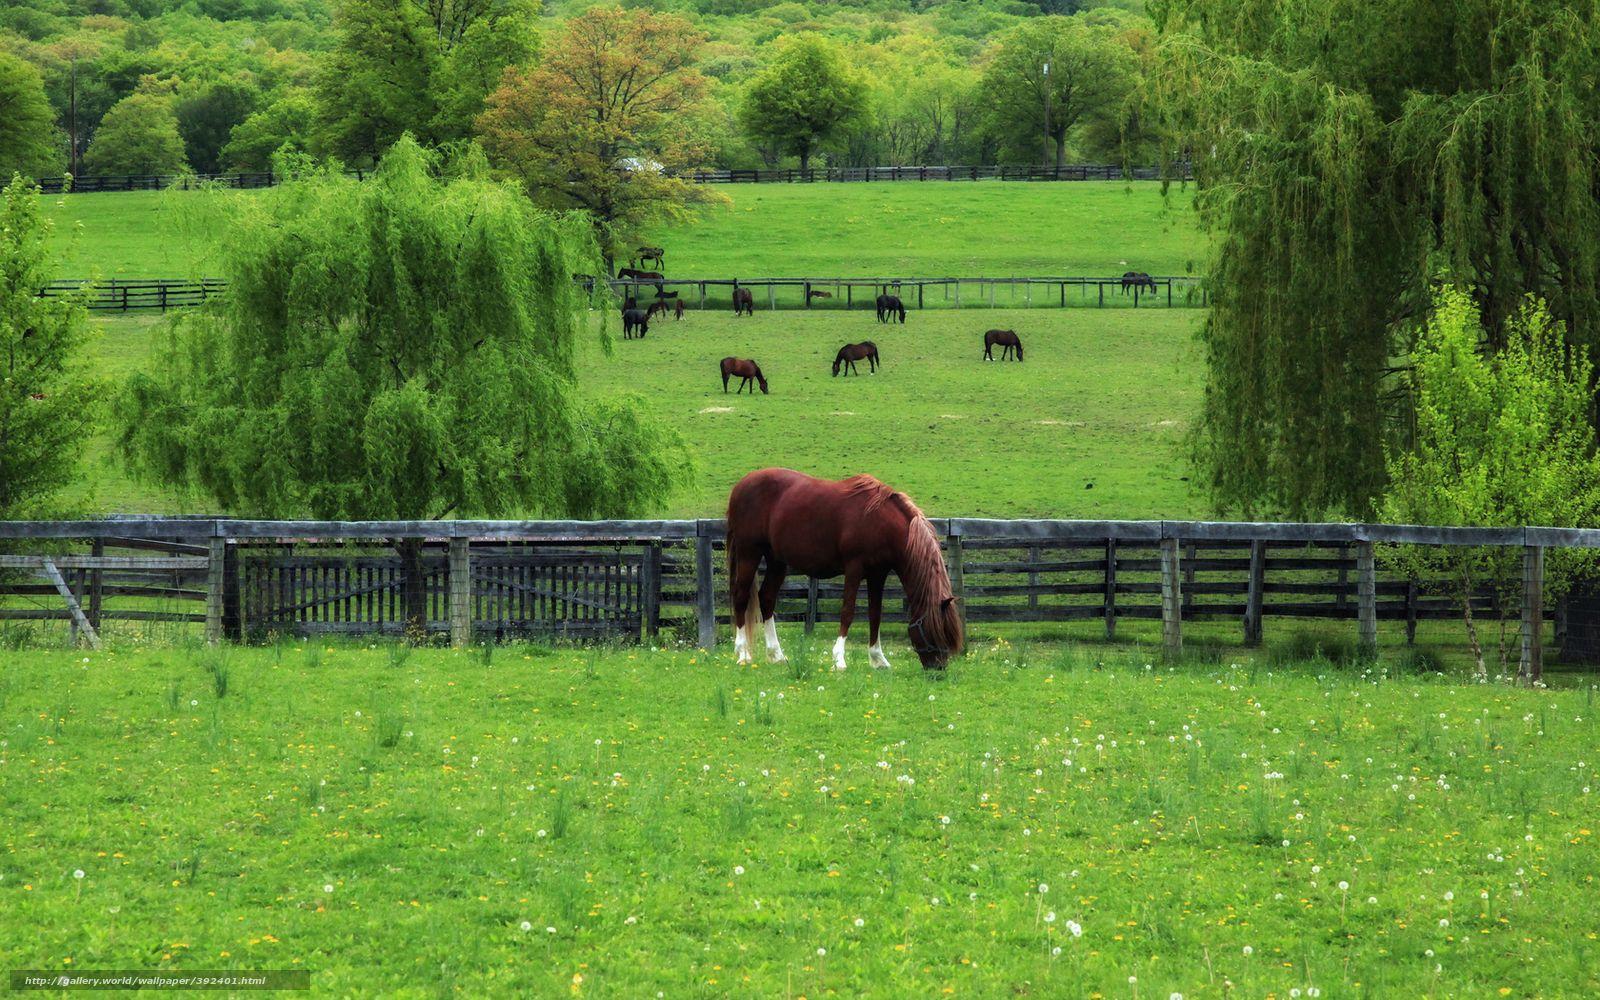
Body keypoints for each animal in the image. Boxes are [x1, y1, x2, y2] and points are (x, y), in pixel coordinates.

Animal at [725, 468, 964, 671]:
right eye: (937, 631)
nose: (938, 669)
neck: (880, 521)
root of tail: (741, 485)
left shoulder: (878, 575)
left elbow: (875, 614)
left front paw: (878, 659)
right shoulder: (854, 569)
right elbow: (847, 612)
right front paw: (839, 659)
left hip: (777, 561)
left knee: (766, 598)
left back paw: (777, 655)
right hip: (749, 553)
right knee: (741, 596)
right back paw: (743, 653)